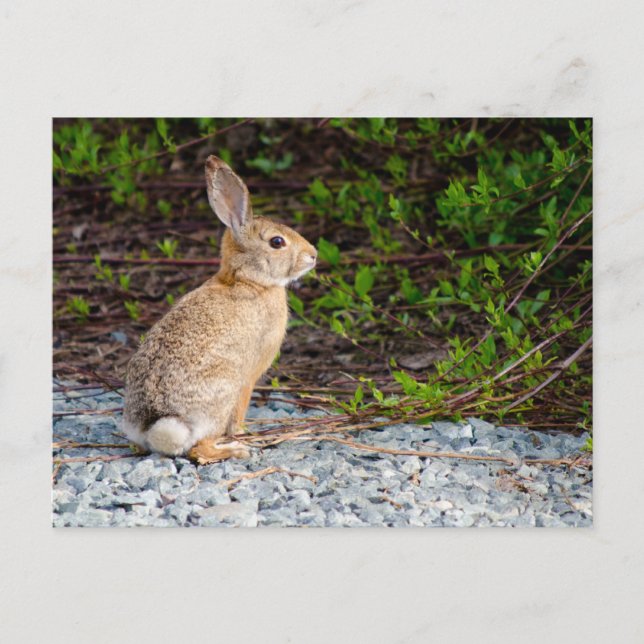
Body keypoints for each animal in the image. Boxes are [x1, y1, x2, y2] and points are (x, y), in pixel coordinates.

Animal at [122, 155, 317, 463]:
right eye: (277, 242)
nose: (313, 255)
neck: (249, 280)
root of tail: (155, 424)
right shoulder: (248, 377)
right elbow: (240, 411)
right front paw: (243, 433)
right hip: (221, 395)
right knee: (198, 449)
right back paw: (234, 449)